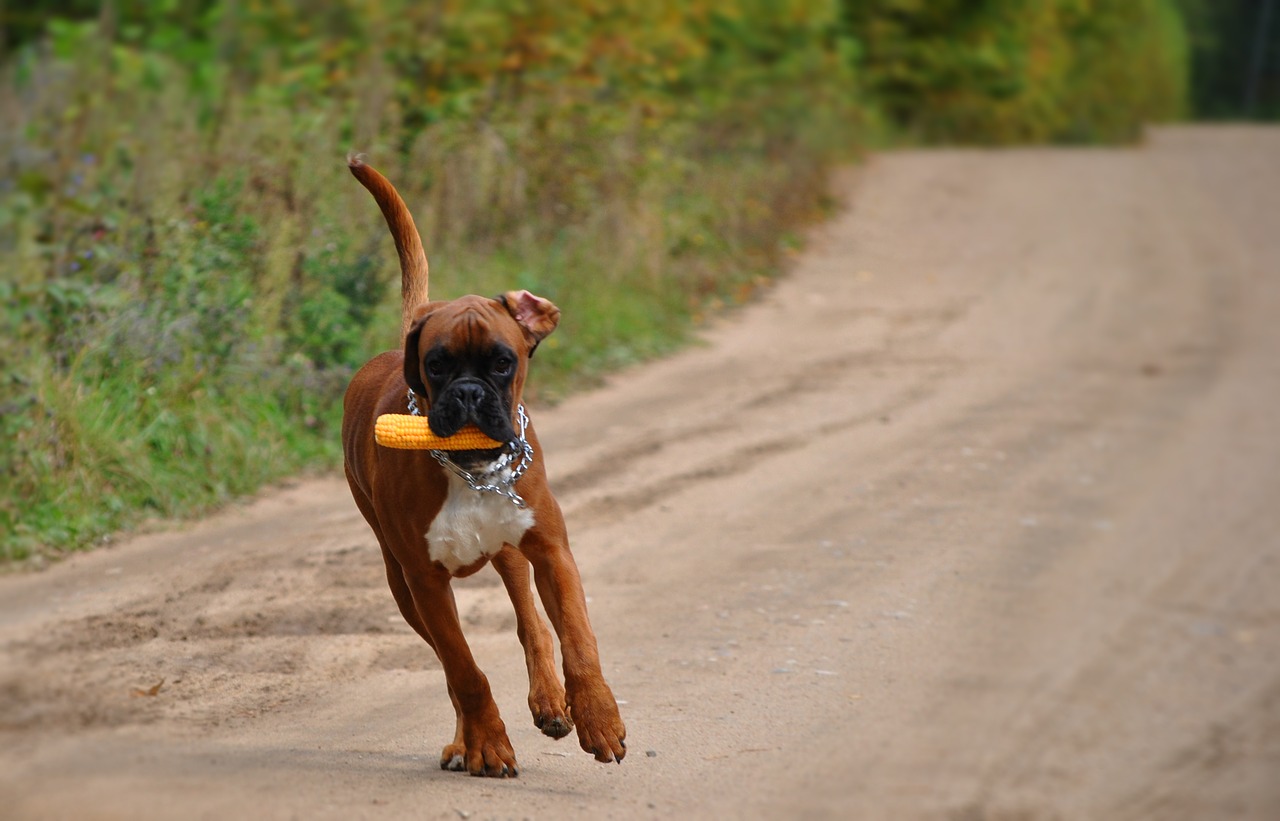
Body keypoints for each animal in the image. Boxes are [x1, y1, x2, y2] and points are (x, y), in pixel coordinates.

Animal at [337, 158, 622, 773]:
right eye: (437, 365)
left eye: (502, 362)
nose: (468, 394)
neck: (468, 470)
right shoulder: (424, 583)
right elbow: (465, 672)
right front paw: (486, 742)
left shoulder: (553, 553)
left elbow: (577, 641)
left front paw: (598, 716)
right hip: (402, 585)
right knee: (453, 668)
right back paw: (466, 740)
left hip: (510, 553)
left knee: (532, 625)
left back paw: (551, 701)